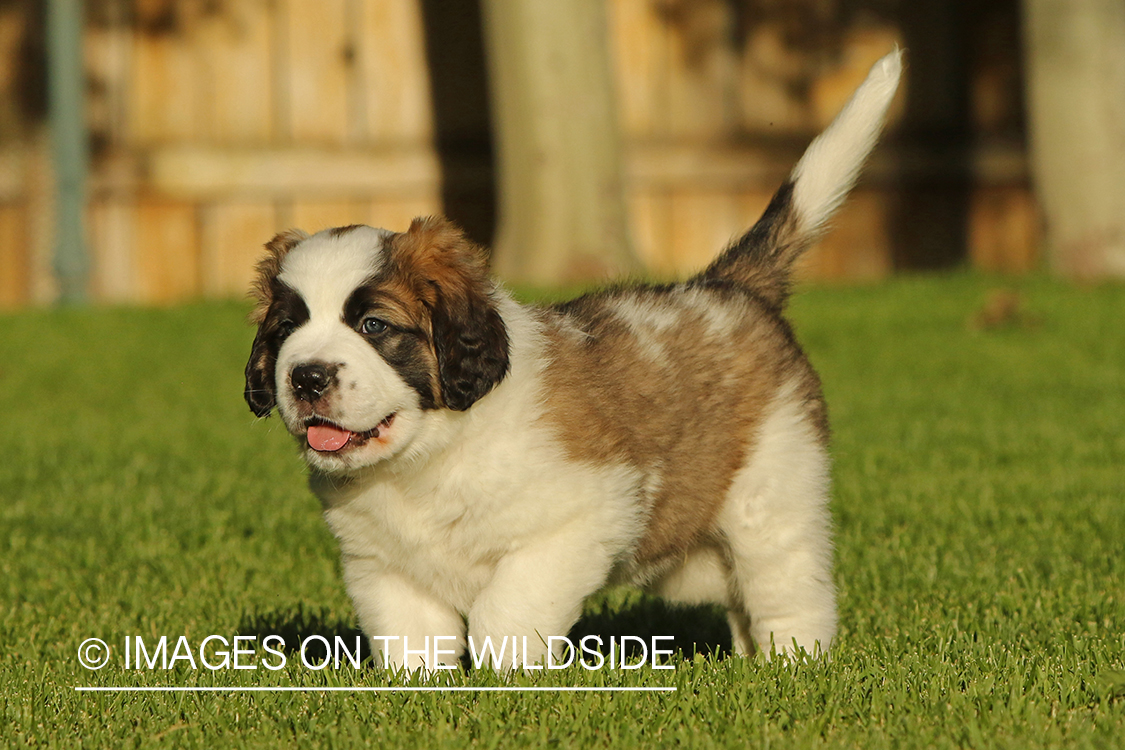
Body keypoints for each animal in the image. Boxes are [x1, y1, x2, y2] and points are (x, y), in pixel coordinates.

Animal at [241, 54, 900, 674]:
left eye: (373, 326)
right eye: (286, 331)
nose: (306, 377)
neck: (427, 456)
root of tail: (726, 286)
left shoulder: (580, 519)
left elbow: (504, 612)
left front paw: (507, 681)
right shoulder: (383, 566)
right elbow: (410, 638)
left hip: (773, 492)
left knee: (787, 589)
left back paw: (793, 666)